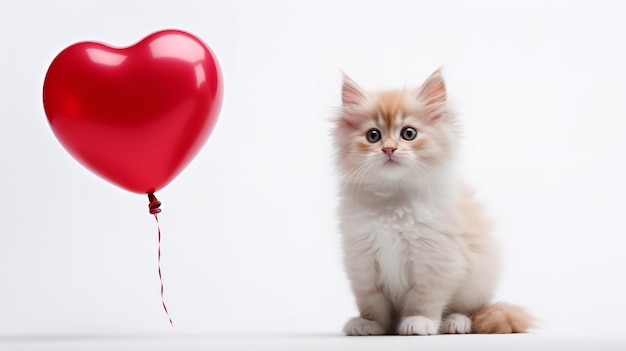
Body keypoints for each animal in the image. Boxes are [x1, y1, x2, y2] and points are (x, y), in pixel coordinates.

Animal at [332, 69, 532, 336]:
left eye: (409, 133)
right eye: (373, 135)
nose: (388, 149)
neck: (393, 199)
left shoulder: (437, 260)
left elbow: (424, 298)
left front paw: (419, 322)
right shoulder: (362, 261)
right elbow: (372, 302)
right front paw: (370, 324)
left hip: (477, 282)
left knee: (470, 309)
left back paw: (455, 322)